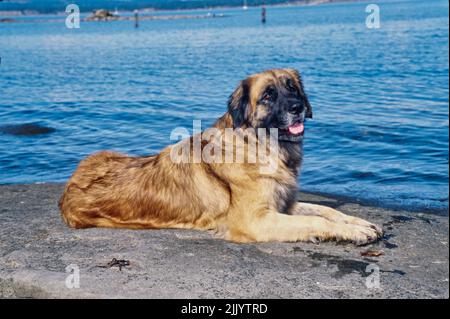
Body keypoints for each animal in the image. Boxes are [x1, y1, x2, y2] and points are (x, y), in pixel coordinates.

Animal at [59, 68, 384, 245]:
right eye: (268, 95)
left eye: (292, 87)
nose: (297, 107)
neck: (260, 145)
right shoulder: (255, 220)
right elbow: (314, 221)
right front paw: (351, 232)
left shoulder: (284, 203)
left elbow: (325, 210)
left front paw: (359, 224)